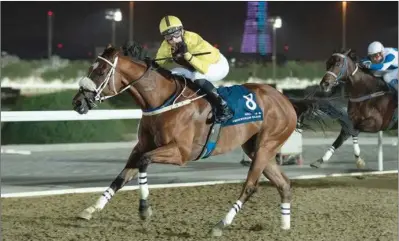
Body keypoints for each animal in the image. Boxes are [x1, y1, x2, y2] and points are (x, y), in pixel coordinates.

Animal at [72, 42, 312, 235]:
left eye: (101, 72)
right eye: (91, 69)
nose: (77, 102)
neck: (162, 100)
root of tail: (286, 100)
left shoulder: (181, 153)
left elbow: (144, 161)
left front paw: (144, 209)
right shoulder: (141, 146)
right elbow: (121, 177)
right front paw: (90, 209)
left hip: (266, 145)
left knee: (250, 186)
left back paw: (220, 225)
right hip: (258, 149)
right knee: (284, 184)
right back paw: (285, 226)